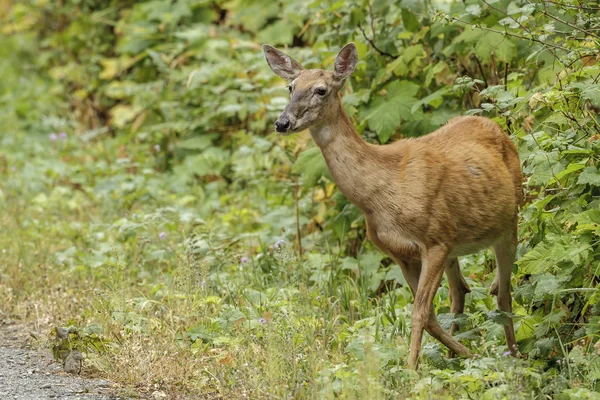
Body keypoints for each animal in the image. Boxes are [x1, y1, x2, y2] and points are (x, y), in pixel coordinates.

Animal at [260, 41, 524, 368]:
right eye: (290, 87)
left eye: (321, 90)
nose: (282, 123)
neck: (381, 194)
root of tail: (495, 125)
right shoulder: (401, 253)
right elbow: (430, 315)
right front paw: (462, 355)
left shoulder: (435, 241)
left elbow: (420, 312)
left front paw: (412, 370)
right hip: (457, 242)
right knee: (460, 291)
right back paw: (459, 355)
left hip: (510, 219)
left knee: (503, 292)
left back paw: (513, 355)